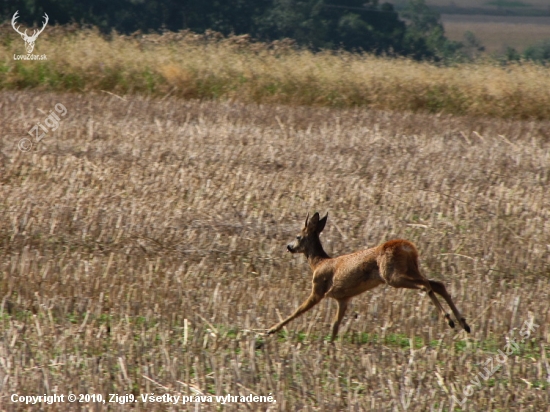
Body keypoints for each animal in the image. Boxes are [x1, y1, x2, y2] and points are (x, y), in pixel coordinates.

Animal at [268, 212, 470, 342]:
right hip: (411, 269)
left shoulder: (318, 288)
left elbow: (297, 310)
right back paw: (463, 324)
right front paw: (330, 345)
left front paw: (271, 330)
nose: (288, 247)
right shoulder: (343, 298)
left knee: (425, 286)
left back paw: (449, 320)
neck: (318, 263)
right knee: (437, 284)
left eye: (298, 236)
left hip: (392, 275)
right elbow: (335, 325)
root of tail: (407, 247)